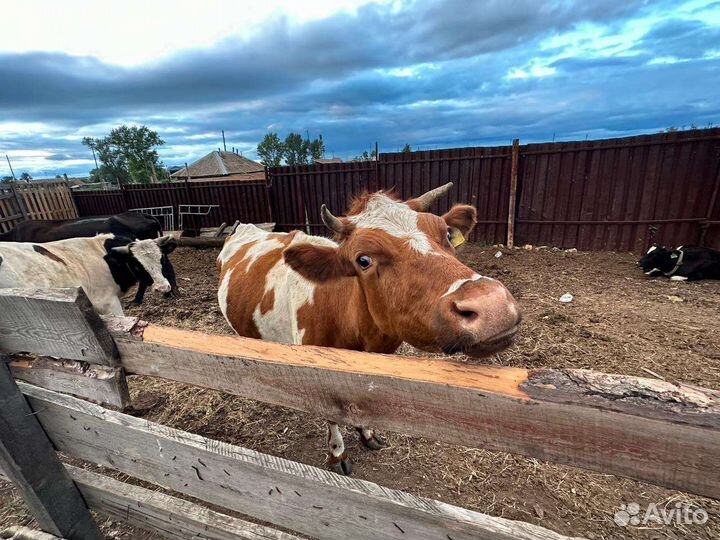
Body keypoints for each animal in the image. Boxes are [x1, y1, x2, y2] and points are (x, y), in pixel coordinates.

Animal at [217, 182, 521, 475]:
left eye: (446, 234)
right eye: (363, 260)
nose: (491, 304)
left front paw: (367, 433)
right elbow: (332, 416)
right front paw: (338, 454)